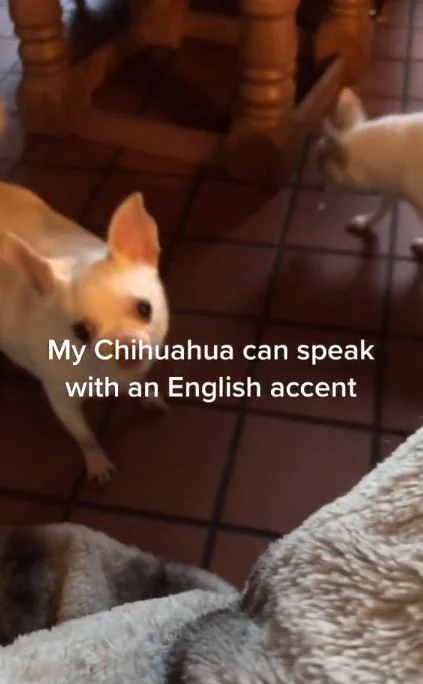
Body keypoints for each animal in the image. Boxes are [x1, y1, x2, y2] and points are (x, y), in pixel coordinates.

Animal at [0, 104, 169, 483]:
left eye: (145, 309)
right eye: (80, 333)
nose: (127, 348)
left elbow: (139, 381)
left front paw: (145, 394)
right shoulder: (61, 399)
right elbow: (84, 435)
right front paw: (96, 461)